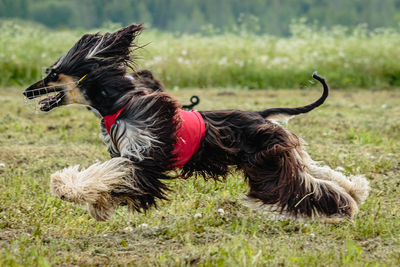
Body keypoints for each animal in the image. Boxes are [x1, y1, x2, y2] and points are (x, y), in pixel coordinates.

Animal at [23, 24, 370, 222]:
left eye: (52, 74)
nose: (27, 91)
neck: (118, 104)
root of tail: (260, 114)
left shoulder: (144, 154)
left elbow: (111, 171)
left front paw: (65, 186)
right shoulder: (134, 154)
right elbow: (112, 177)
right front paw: (100, 204)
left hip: (267, 164)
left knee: (302, 185)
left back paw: (344, 207)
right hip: (280, 153)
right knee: (315, 171)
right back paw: (355, 191)